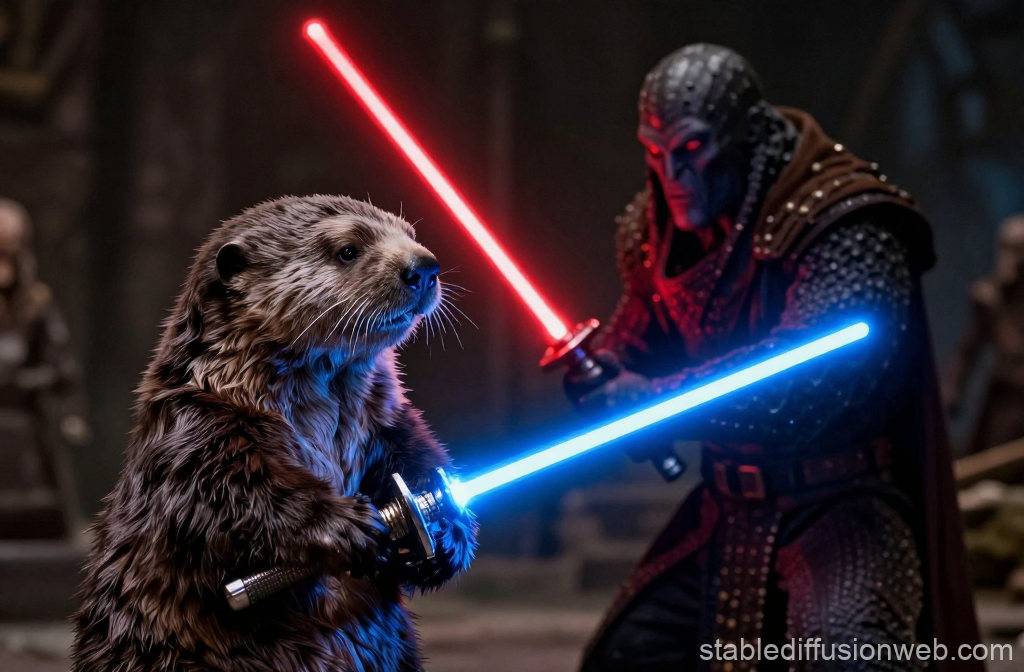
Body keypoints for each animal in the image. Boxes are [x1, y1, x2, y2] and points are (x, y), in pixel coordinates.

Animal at [71, 195, 477, 672]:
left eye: (411, 234)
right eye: (348, 250)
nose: (424, 267)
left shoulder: (386, 418)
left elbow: (417, 451)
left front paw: (445, 527)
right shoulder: (194, 429)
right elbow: (230, 489)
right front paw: (349, 526)